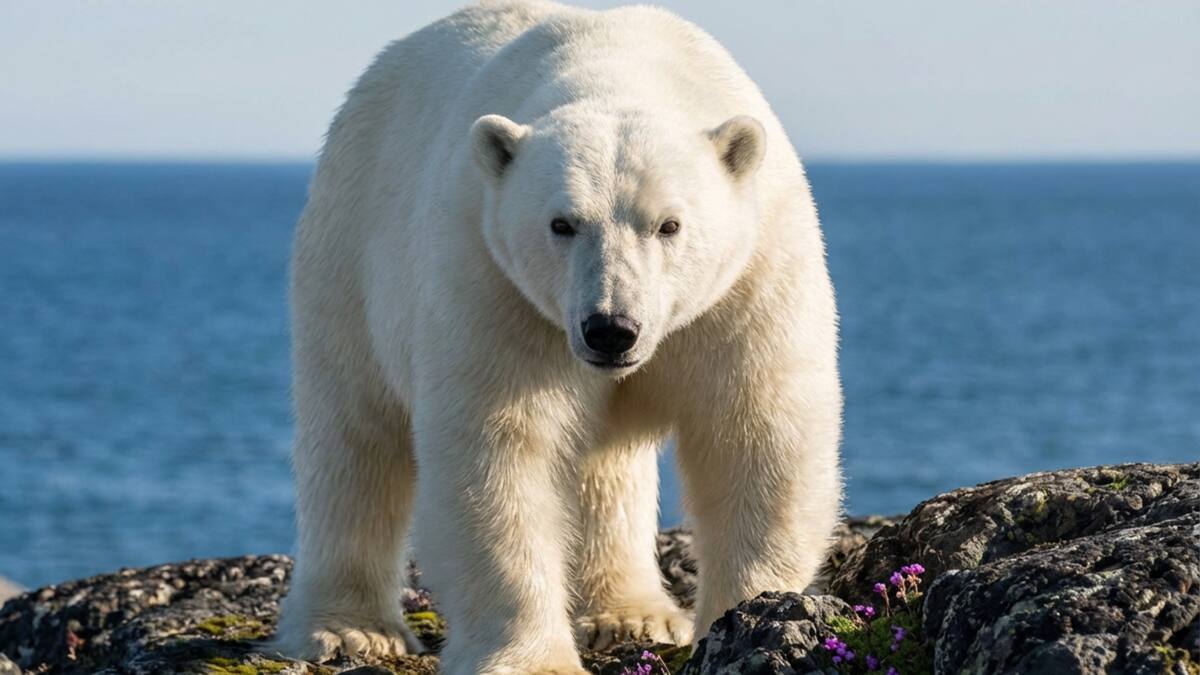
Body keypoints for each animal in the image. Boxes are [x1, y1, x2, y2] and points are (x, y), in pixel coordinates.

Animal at [274, 1, 843, 673]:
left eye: (669, 225)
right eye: (561, 223)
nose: (611, 330)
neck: (618, 67)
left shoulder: (749, 281)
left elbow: (757, 435)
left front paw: (750, 615)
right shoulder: (493, 283)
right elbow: (499, 453)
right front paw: (531, 658)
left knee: (606, 467)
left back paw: (628, 613)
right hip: (350, 247)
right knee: (354, 434)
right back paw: (347, 628)